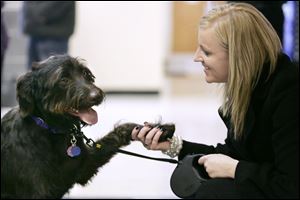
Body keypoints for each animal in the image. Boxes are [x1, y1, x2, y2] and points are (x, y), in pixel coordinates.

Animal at [0, 54, 173, 198]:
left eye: (85, 73)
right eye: (63, 80)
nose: (97, 96)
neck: (52, 131)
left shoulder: (85, 167)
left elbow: (118, 132)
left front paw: (158, 129)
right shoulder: (38, 191)